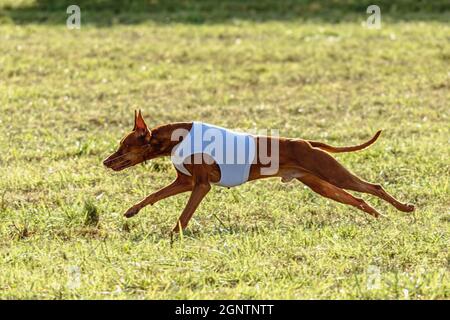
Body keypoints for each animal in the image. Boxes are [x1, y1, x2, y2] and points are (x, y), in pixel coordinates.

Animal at [103, 111, 414, 231]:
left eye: (123, 145)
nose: (106, 161)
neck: (175, 138)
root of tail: (306, 142)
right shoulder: (185, 182)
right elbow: (153, 196)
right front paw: (132, 210)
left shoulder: (201, 186)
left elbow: (184, 214)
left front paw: (173, 235)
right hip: (322, 185)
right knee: (359, 199)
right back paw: (380, 217)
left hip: (332, 174)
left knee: (374, 187)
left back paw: (404, 208)